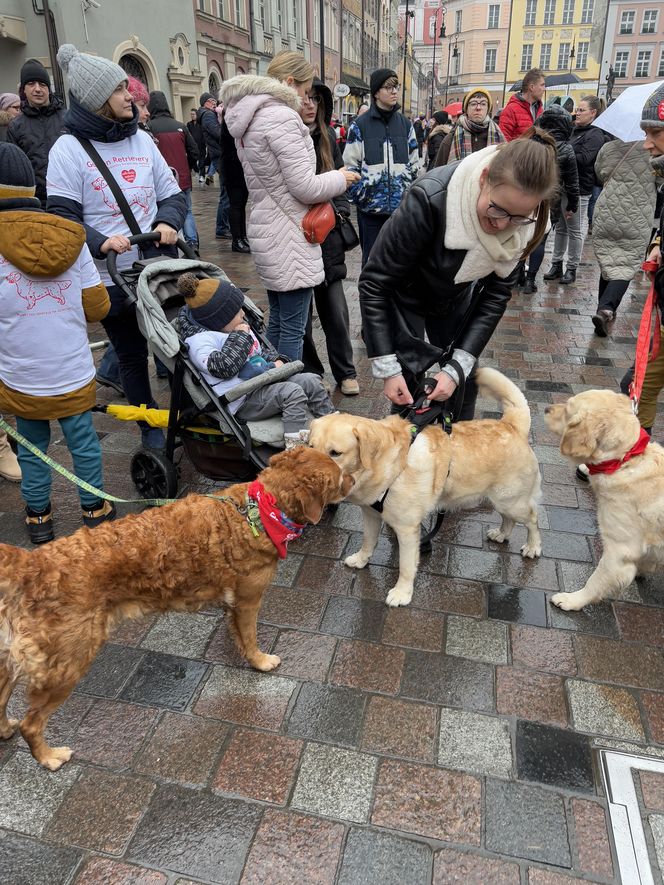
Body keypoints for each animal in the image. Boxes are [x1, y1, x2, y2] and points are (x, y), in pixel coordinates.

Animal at [0, 448, 352, 768]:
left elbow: (236, 632)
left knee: (2, 697)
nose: (354, 480)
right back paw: (49, 757)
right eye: (338, 476)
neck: (261, 509)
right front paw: (260, 661)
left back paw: (5, 730)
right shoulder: (249, 599)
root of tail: (31, 563)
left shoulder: (233, 602)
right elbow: (251, 638)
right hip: (68, 663)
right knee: (32, 724)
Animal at [308, 366, 544, 608]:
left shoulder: (407, 529)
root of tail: (511, 424)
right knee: (510, 520)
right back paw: (501, 534)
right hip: (502, 499)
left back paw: (533, 546)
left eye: (335, 453)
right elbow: (368, 541)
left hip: (511, 500)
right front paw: (361, 559)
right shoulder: (371, 514)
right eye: (310, 446)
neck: (389, 464)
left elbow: (405, 566)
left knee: (533, 518)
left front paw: (402, 593)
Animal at [544, 390, 664, 612]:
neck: (625, 460)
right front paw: (644, 568)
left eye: (568, 411)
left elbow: (596, 581)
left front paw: (573, 600)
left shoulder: (619, 549)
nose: (546, 408)